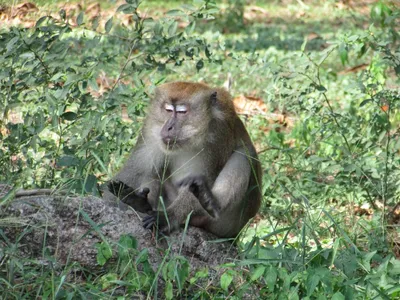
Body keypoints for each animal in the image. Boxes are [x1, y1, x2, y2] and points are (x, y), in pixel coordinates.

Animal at [106, 81, 262, 238]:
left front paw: (169, 217)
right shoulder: (151, 128)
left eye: (182, 112)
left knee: (244, 155)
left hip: (228, 224)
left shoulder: (218, 136)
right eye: (168, 110)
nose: (168, 127)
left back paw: (209, 202)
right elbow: (136, 171)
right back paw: (140, 204)